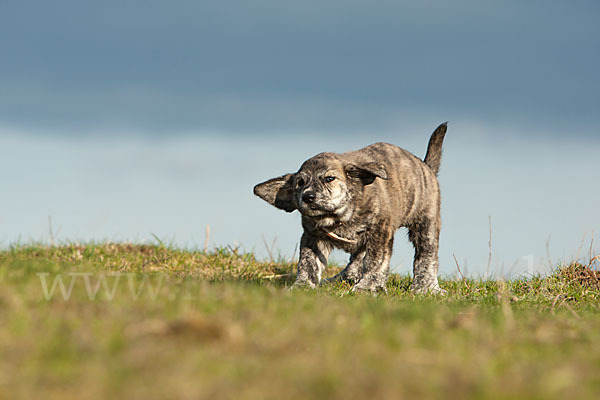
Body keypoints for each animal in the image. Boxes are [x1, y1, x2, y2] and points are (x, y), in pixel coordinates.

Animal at [252, 122, 446, 294]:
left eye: (329, 179)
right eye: (299, 183)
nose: (307, 197)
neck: (339, 217)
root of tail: (425, 166)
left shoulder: (380, 232)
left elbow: (376, 260)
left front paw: (368, 287)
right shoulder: (312, 237)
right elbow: (308, 262)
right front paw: (303, 285)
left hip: (426, 225)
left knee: (427, 256)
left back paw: (426, 287)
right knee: (357, 258)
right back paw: (346, 277)